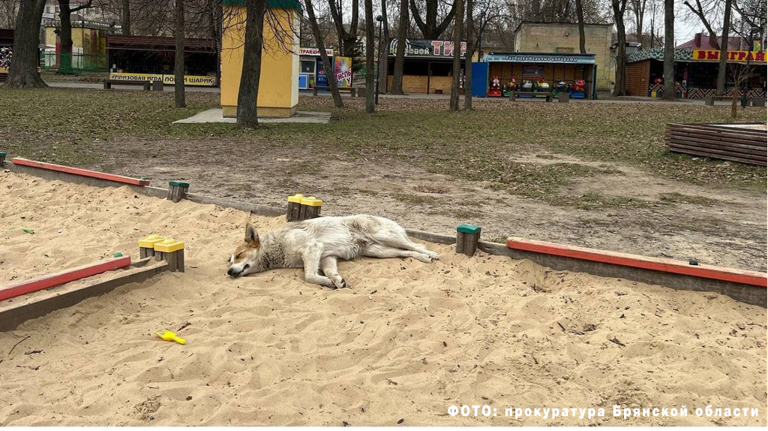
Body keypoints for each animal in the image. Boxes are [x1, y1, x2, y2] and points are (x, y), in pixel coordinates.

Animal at [226, 214, 438, 288]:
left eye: (239, 255)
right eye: (230, 260)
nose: (228, 271)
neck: (277, 246)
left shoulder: (312, 248)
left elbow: (309, 276)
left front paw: (328, 282)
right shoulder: (327, 257)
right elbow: (329, 271)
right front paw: (336, 280)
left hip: (385, 236)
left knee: (415, 245)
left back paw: (432, 254)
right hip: (378, 250)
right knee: (406, 252)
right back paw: (423, 258)